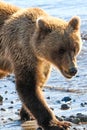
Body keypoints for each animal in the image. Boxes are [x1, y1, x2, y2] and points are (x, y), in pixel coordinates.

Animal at [0, 1, 82, 130]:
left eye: (74, 48)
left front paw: (26, 113)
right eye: (61, 50)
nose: (73, 70)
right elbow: (28, 86)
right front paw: (58, 123)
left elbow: (39, 82)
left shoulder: (42, 64)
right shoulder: (22, 54)